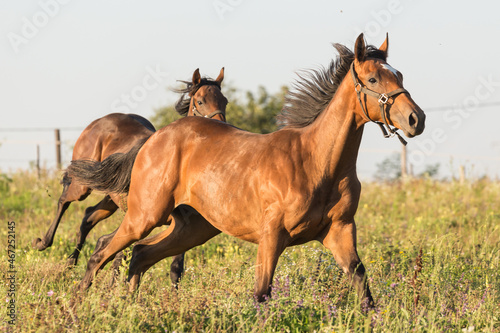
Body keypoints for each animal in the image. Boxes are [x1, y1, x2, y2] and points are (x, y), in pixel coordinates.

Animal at [32, 68, 225, 282]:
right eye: (200, 101)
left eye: (224, 101)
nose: (220, 129)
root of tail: (99, 121)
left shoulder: (180, 223)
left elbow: (174, 265)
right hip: (83, 186)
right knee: (64, 200)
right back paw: (45, 244)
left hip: (111, 198)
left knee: (88, 216)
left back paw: (70, 263)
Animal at [67, 33, 426, 306]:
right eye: (373, 78)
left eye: (400, 76)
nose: (416, 119)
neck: (317, 163)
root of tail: (153, 138)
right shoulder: (272, 236)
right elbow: (261, 293)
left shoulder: (340, 231)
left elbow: (361, 283)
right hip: (145, 215)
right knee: (102, 252)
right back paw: (76, 307)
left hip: (191, 228)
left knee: (140, 255)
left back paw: (128, 307)